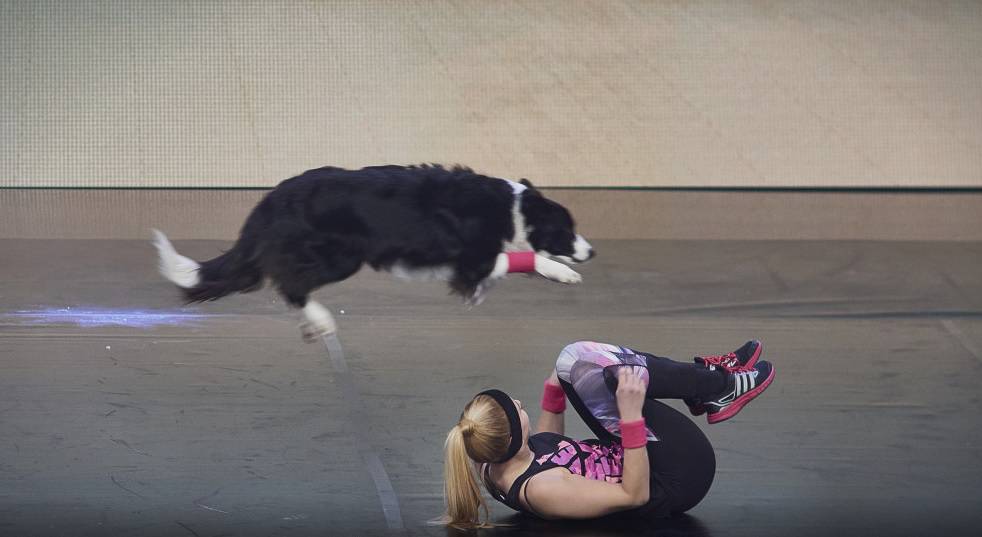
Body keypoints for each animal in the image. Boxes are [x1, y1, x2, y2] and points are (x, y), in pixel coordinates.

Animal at [156, 163, 592, 340]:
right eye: (566, 229)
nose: (591, 252)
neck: (510, 207)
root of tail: (274, 197)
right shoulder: (470, 258)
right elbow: (514, 259)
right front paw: (561, 271)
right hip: (342, 254)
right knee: (289, 282)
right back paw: (320, 319)